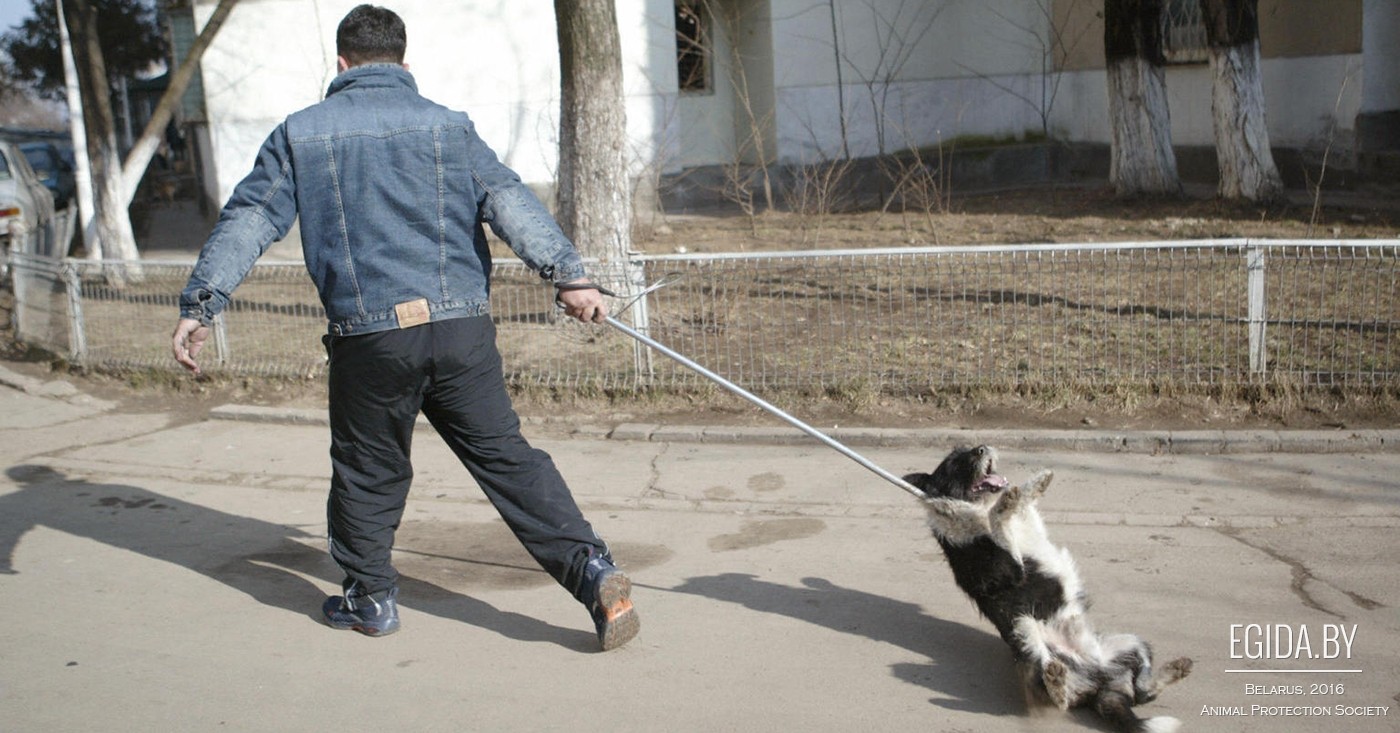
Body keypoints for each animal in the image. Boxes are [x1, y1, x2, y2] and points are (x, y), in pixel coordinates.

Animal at [907, 444, 1192, 727]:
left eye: (967, 449)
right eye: (955, 463)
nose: (982, 448)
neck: (977, 505)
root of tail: (1098, 686)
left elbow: (1020, 507)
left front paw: (1034, 484)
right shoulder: (1007, 571)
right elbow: (1001, 522)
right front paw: (1006, 503)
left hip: (1132, 642)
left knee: (1143, 692)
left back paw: (1175, 669)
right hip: (1025, 628)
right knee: (1057, 697)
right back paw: (1056, 681)